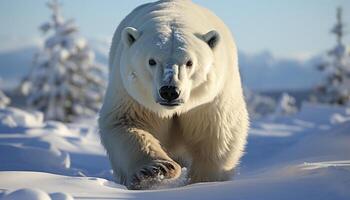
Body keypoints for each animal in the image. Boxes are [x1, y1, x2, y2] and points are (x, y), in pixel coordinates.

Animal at [98, 0, 249, 189]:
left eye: (189, 62)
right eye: (152, 61)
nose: (169, 91)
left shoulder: (211, 100)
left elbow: (217, 132)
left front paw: (205, 180)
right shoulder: (130, 93)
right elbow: (125, 122)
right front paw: (156, 170)